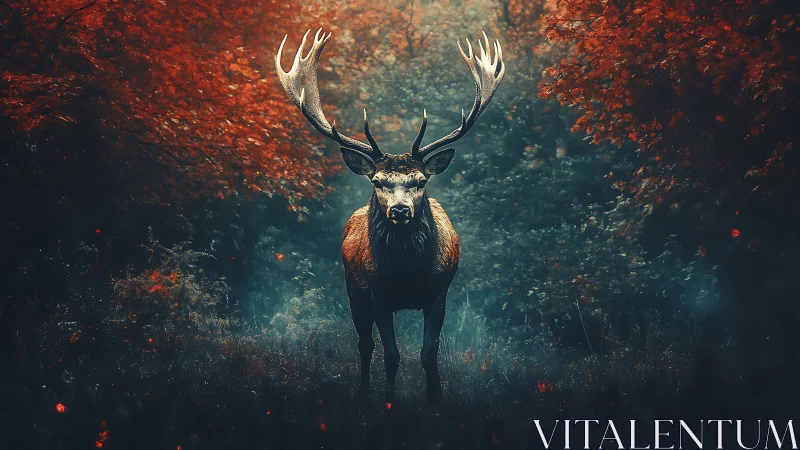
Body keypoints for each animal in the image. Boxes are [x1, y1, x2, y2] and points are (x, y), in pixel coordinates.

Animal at [275, 28, 505, 403]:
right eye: (377, 181)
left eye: (421, 180)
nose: (399, 210)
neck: (406, 274)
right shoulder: (376, 294)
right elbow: (391, 355)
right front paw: (389, 401)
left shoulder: (439, 292)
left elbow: (429, 353)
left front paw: (435, 398)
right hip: (353, 291)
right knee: (365, 345)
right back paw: (363, 395)